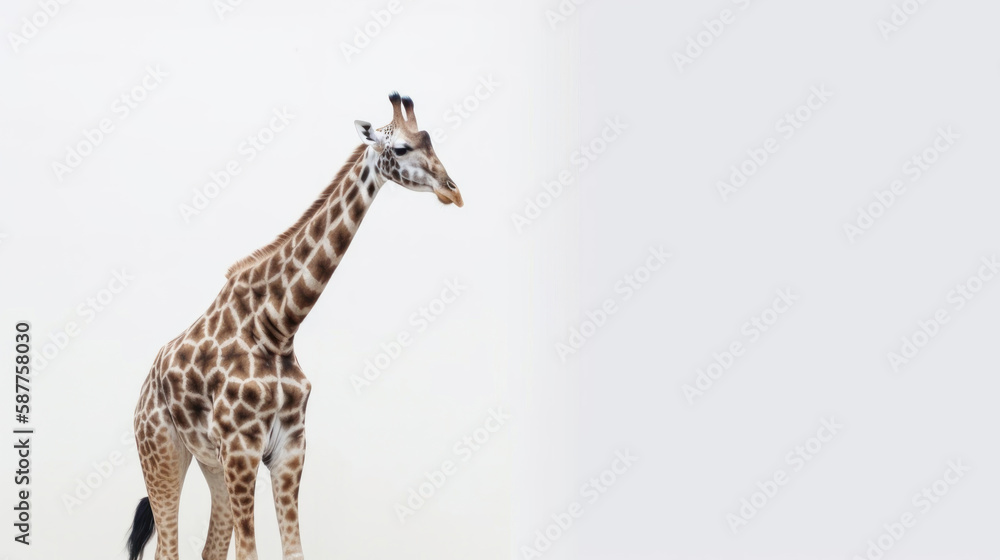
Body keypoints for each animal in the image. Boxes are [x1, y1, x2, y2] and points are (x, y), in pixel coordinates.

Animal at [126, 92, 463, 560]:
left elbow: (294, 549)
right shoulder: (242, 447)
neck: (277, 327)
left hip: (209, 462)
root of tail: (145, 385)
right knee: (167, 547)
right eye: (400, 148)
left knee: (207, 548)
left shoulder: (290, 448)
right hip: (160, 451)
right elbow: (249, 552)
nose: (454, 191)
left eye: (430, 140)